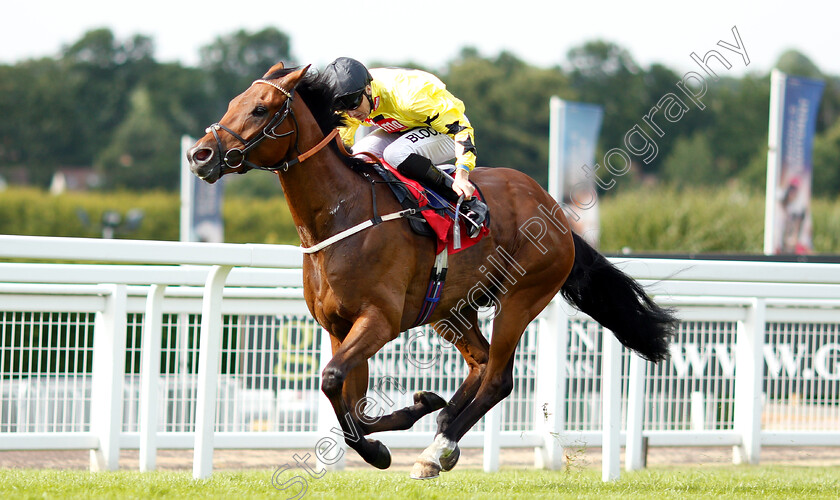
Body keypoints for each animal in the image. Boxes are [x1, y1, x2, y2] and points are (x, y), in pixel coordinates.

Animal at [185, 62, 676, 480]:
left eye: (261, 108)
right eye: (233, 102)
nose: (200, 154)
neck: (340, 216)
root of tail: (555, 210)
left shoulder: (379, 320)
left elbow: (332, 381)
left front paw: (387, 442)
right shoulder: (339, 327)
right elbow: (351, 403)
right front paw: (408, 416)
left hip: (522, 296)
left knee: (497, 378)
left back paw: (437, 449)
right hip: (450, 310)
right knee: (480, 363)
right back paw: (442, 431)